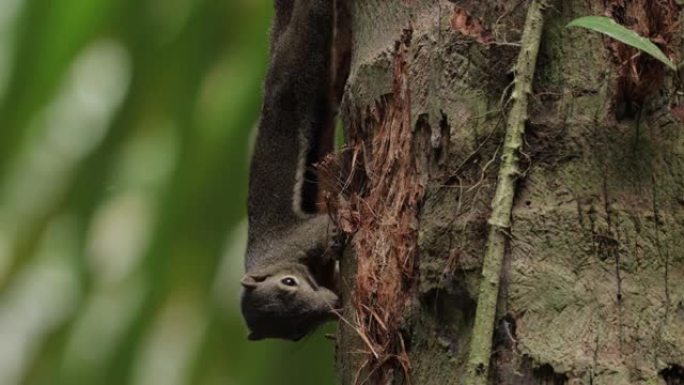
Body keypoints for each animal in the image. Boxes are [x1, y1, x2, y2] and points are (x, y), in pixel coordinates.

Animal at [240, 0, 342, 340]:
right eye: (296, 333)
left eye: (288, 283)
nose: (332, 305)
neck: (274, 259)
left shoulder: (301, 237)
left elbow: (324, 227)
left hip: (295, 71)